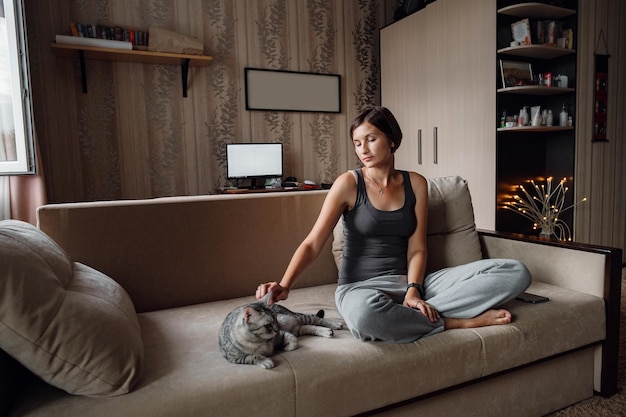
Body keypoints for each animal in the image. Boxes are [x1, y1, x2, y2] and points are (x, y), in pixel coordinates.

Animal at [218, 292, 346, 368]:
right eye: (268, 325)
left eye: (275, 319)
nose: (276, 328)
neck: (261, 341)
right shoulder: (234, 357)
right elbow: (252, 356)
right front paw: (266, 361)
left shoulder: (282, 334)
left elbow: (293, 341)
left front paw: (287, 347)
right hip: (298, 328)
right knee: (308, 327)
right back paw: (326, 331)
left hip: (299, 317)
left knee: (316, 319)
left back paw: (335, 324)